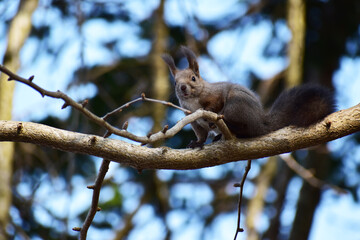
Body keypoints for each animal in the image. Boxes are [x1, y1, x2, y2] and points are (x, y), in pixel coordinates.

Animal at [160, 46, 334, 148]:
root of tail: (260, 123)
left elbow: (216, 103)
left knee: (242, 125)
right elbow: (201, 134)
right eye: (175, 82)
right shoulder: (193, 120)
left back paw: (227, 125)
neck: (192, 99)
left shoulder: (215, 94)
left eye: (193, 78)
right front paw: (197, 143)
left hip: (236, 105)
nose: (182, 87)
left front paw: (209, 112)